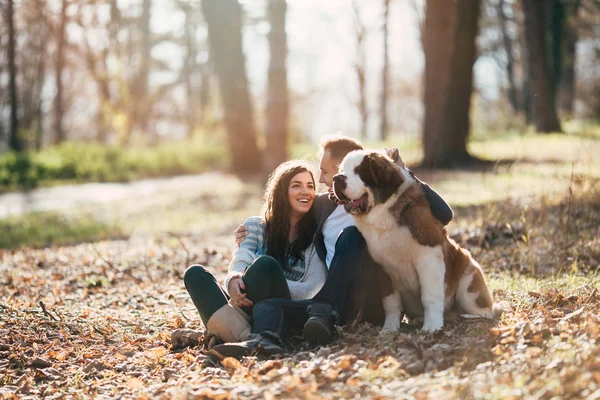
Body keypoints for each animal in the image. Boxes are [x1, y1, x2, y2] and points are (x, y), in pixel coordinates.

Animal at [330, 149, 494, 332]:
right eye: (342, 170)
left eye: (359, 171)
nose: (336, 178)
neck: (384, 213)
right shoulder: (383, 268)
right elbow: (391, 302)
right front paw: (390, 329)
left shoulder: (429, 257)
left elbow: (429, 296)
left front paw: (432, 326)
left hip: (469, 279)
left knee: (486, 312)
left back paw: (468, 317)